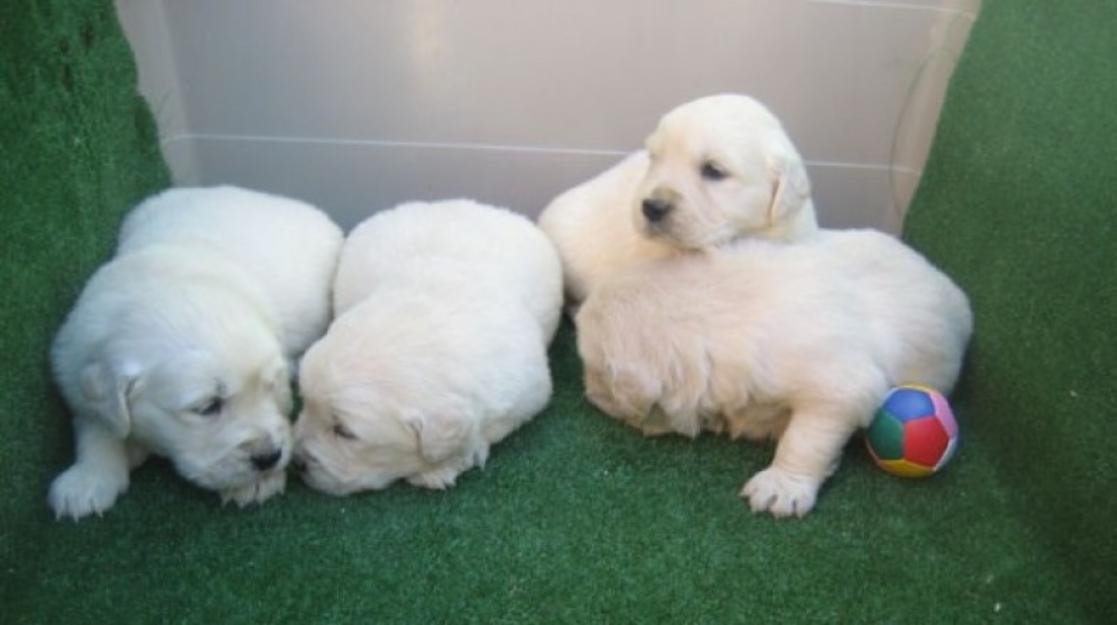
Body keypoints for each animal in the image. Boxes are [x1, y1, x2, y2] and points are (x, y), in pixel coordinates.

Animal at [49, 187, 344, 520]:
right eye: (207, 407)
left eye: (270, 387)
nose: (269, 457)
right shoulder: (75, 365)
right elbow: (96, 424)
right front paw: (88, 480)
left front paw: (256, 484)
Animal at [580, 229, 974, 517]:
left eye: (595, 370)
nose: (588, 394)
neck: (716, 311)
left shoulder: (839, 387)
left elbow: (806, 438)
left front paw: (781, 488)